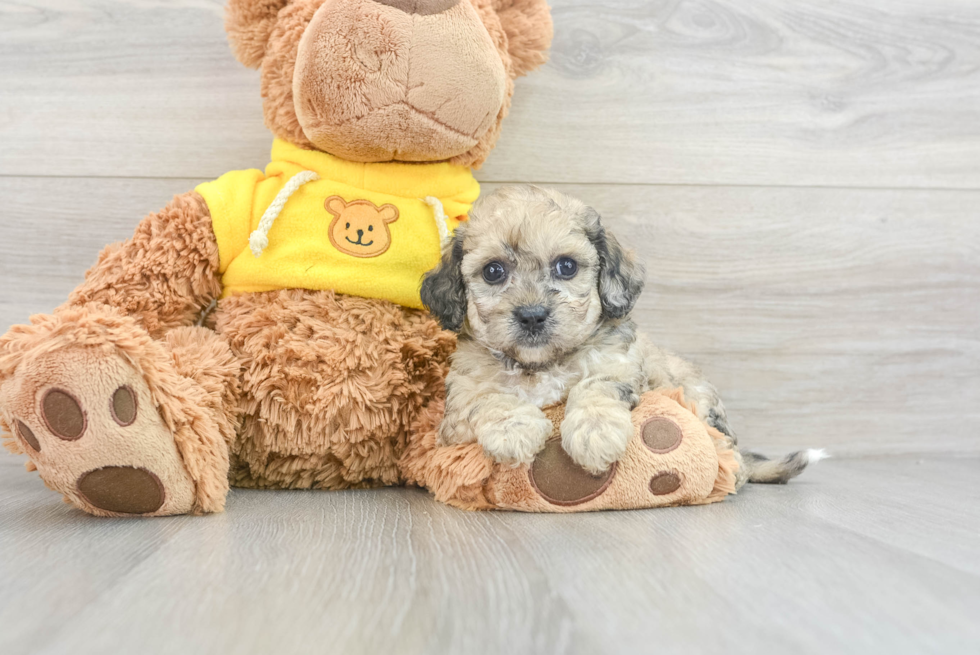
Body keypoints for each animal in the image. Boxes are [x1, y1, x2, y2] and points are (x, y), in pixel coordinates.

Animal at [422, 184, 820, 486]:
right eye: (493, 272)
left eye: (566, 266)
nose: (532, 316)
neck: (541, 365)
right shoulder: (457, 410)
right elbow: (489, 399)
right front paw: (514, 430)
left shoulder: (618, 365)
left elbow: (595, 387)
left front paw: (594, 434)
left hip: (699, 398)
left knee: (726, 446)